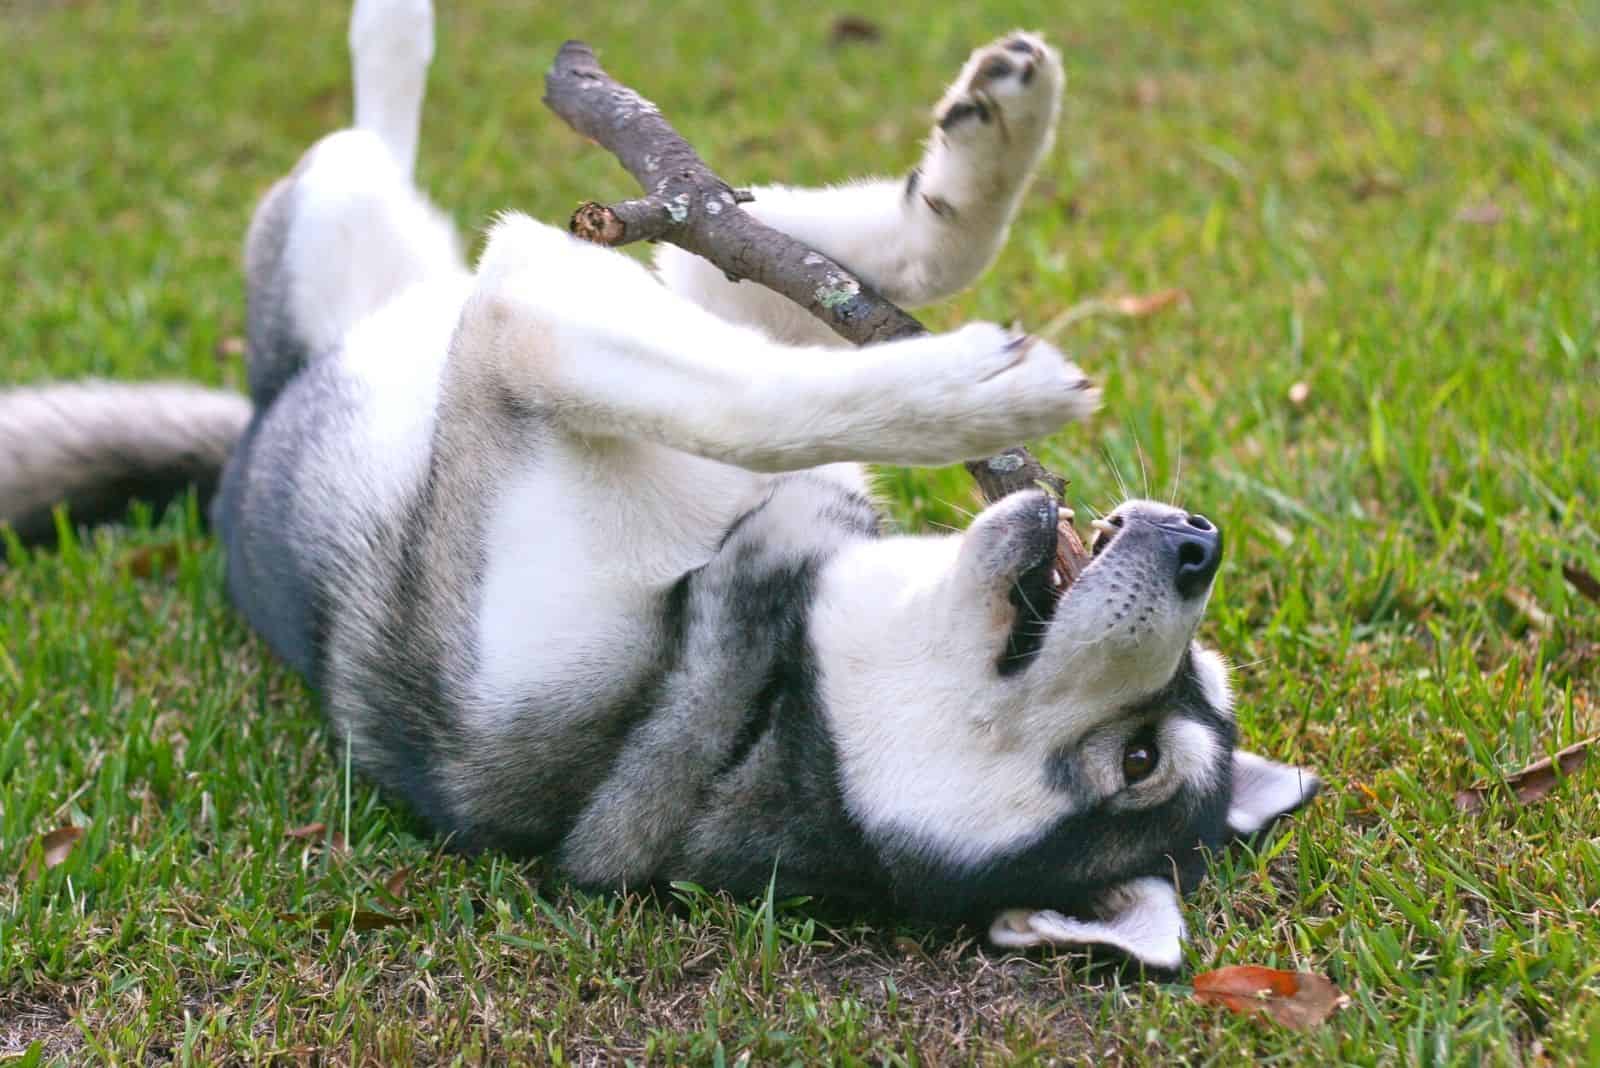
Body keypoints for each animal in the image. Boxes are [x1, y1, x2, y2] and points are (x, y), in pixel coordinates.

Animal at [0, 0, 1318, 965]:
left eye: (1141, 760)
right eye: (1202, 679)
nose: (1198, 544)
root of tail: (248, 435)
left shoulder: (524, 332)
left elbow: (738, 397)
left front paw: (966, 394)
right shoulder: (668, 292)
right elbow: (797, 265)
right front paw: (979, 172)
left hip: (352, 231)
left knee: (376, 152)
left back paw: (393, 39)